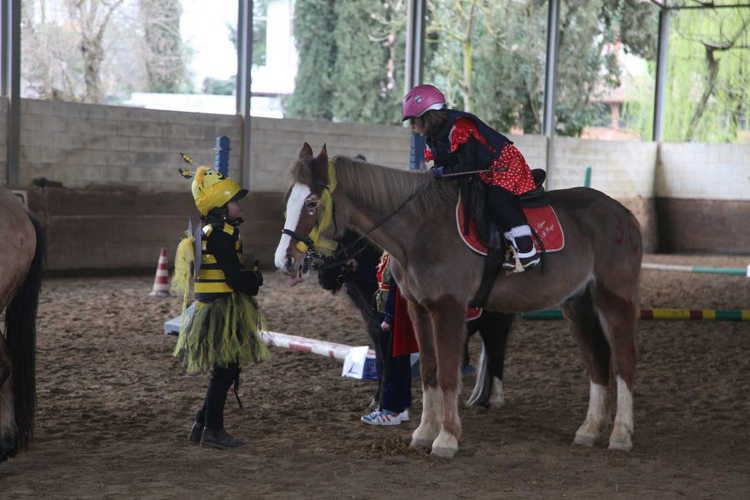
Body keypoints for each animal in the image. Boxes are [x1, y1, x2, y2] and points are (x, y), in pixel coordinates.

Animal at [317, 229, 513, 409]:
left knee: (496, 355)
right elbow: (380, 364)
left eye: (337, 245)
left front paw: (384, 402)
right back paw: (479, 399)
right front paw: (378, 400)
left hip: (495, 324)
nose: (322, 278)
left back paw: (495, 399)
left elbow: (387, 366)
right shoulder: (376, 332)